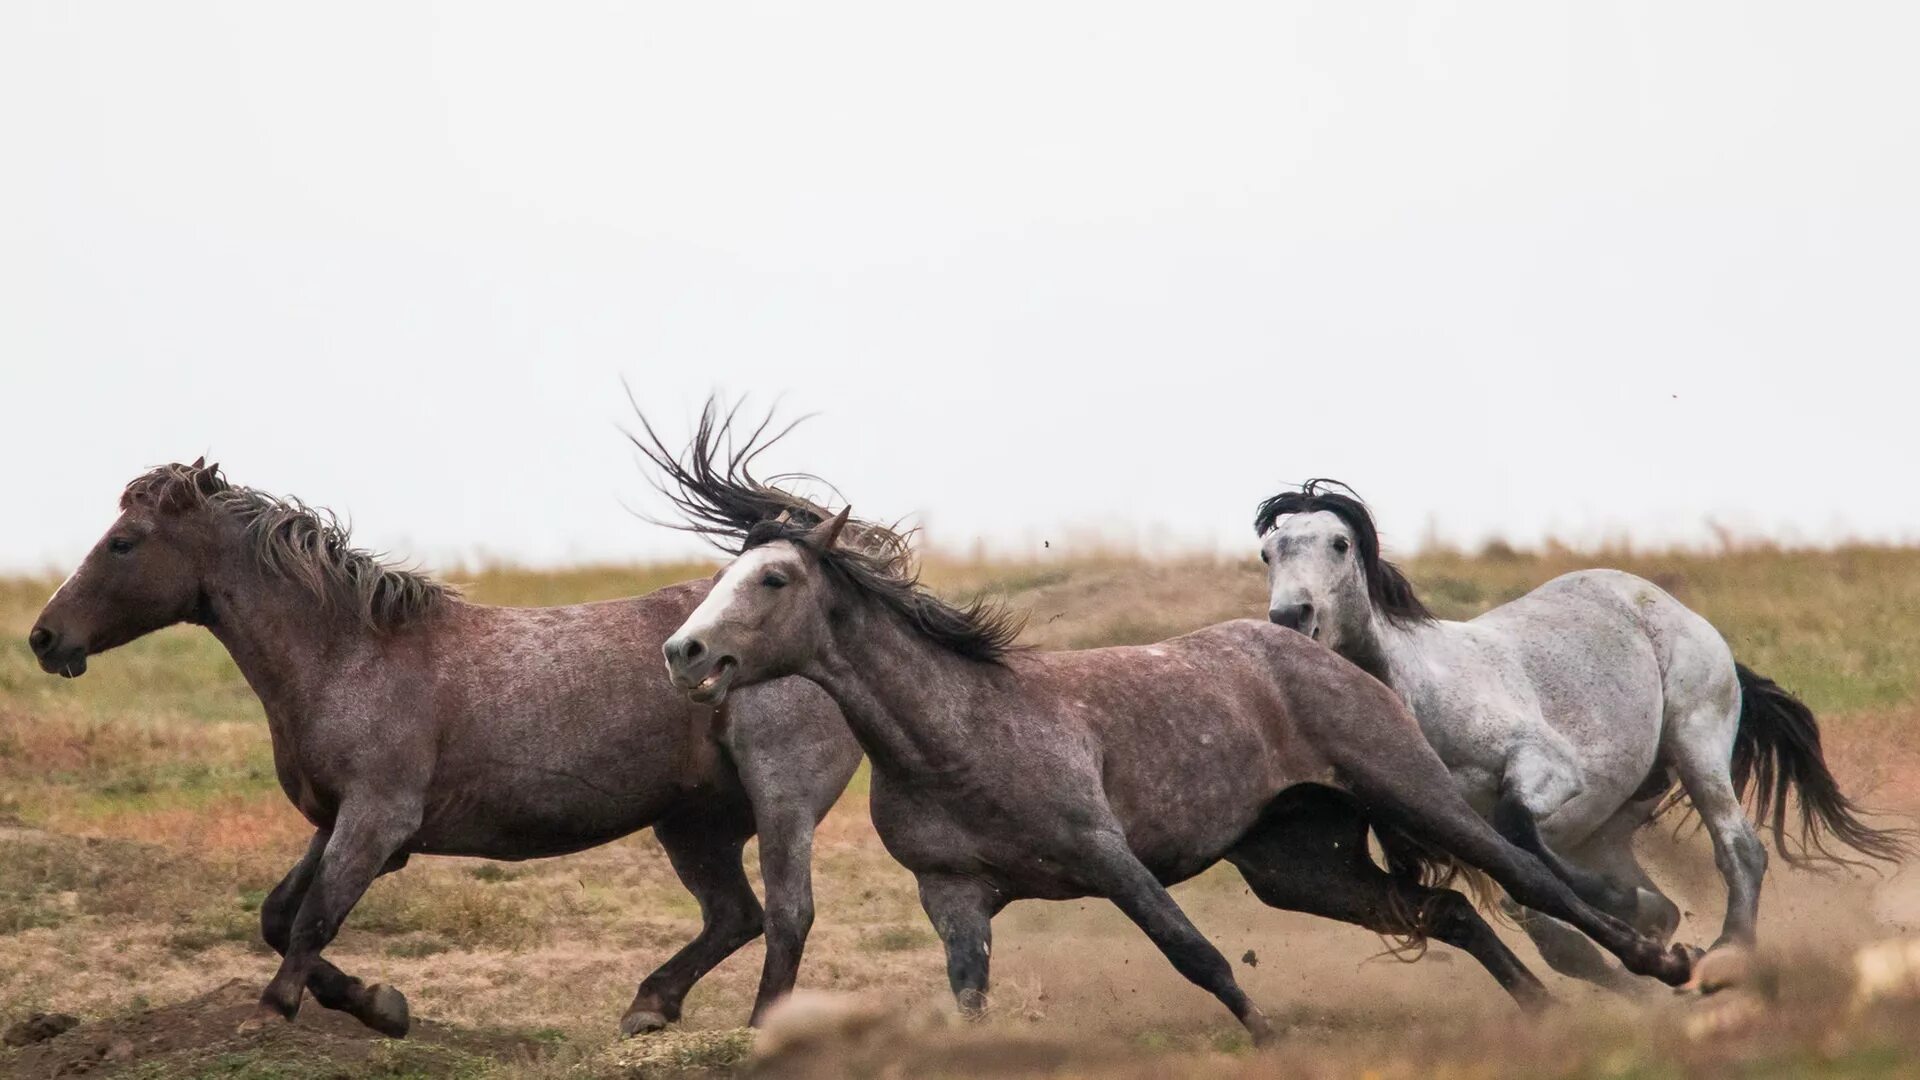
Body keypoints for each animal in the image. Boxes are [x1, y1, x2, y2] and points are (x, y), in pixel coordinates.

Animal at [28, 461, 856, 1037]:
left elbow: (314, 918)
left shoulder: (376, 820)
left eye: (123, 542)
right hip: (692, 824)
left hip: (779, 803)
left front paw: (274, 1012)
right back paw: (649, 1006)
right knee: (735, 916)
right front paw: (377, 1005)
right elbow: (277, 916)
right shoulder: (337, 821)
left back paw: (758, 1029)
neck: (348, 655)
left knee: (786, 915)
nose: (44, 638)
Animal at [629, 405, 1681, 1045]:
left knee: (1532, 880)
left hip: (1411, 791)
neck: (956, 737)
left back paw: (1661, 963)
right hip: (1300, 864)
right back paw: (1544, 1012)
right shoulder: (953, 894)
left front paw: (1269, 1039)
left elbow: (1194, 953)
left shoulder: (1106, 854)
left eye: (773, 578)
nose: (685, 654)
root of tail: (1319, 652)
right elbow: (970, 998)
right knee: (1449, 912)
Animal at [1244, 484, 1904, 991]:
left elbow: (1518, 829)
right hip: (1608, 824)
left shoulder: (1548, 770)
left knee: (1741, 849)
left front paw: (1632, 915)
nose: (1291, 618)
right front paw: (1642, 942)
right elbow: (1549, 922)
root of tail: (1667, 605)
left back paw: (1728, 952)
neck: (1422, 695)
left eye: (1339, 543)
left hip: (1695, 742)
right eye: (1268, 552)